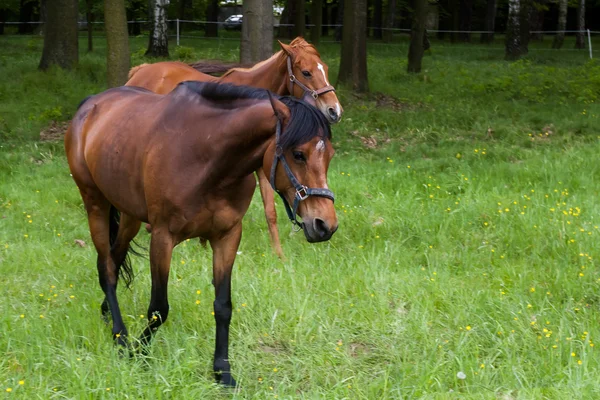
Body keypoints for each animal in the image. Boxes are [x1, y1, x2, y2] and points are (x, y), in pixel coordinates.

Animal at [67, 82, 338, 388]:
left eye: (329, 155)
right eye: (298, 154)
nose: (325, 224)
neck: (206, 158)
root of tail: (90, 105)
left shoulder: (228, 237)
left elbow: (223, 306)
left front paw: (222, 370)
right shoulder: (162, 237)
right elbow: (159, 308)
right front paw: (140, 352)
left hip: (129, 216)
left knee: (115, 258)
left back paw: (107, 315)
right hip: (95, 204)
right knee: (107, 268)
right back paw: (120, 335)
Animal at [126, 38, 342, 260]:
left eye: (325, 68)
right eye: (306, 72)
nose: (334, 110)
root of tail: (140, 70)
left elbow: (270, 211)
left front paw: (278, 254)